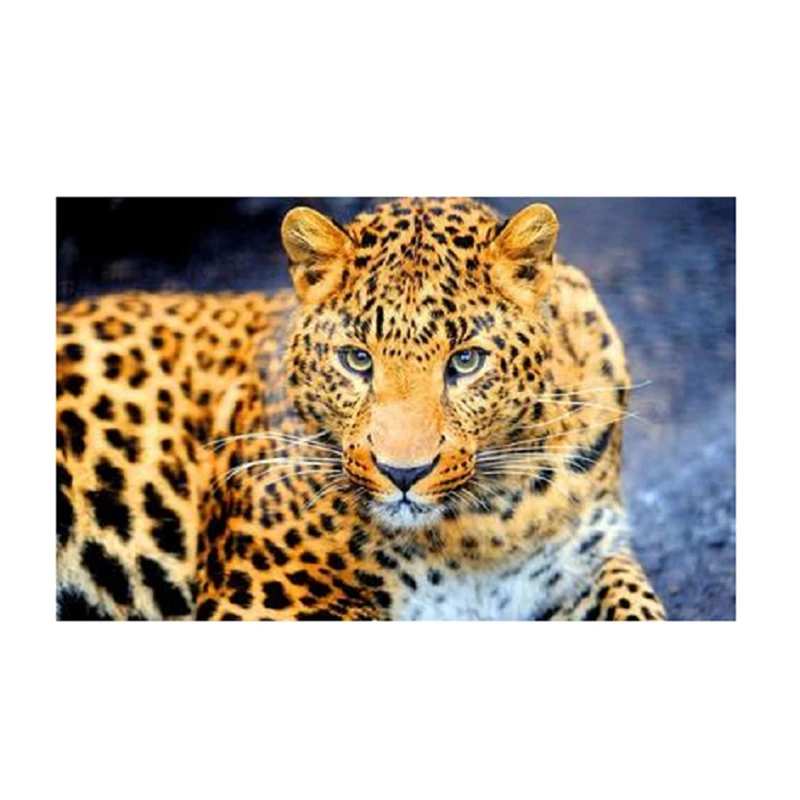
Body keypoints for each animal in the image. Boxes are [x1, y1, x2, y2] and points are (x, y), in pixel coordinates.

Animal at [56, 197, 666, 621]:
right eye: (356, 359)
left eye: (465, 361)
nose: (403, 473)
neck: (483, 529)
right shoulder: (261, 599)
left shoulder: (587, 561)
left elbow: (638, 607)